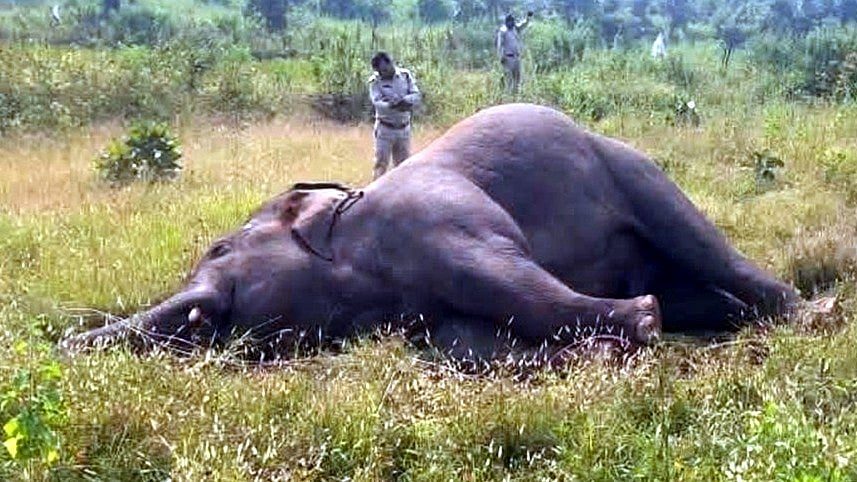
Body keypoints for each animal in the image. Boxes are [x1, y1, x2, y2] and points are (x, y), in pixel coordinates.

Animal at [62, 103, 799, 361]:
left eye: (217, 249)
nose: (64, 342)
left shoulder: (437, 218)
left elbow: (504, 276)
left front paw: (640, 325)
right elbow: (459, 337)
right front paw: (587, 353)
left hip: (632, 169)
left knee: (701, 246)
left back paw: (800, 313)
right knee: (700, 291)